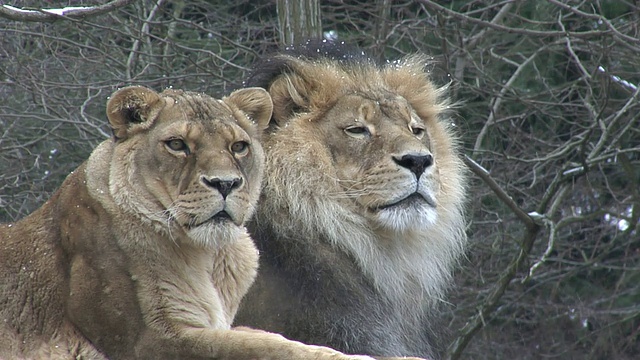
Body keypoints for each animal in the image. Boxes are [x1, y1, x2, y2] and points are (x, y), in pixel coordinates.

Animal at [0, 86, 376, 358]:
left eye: (238, 146)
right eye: (177, 144)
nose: (225, 183)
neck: (212, 254)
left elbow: (271, 338)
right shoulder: (149, 339)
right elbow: (262, 348)